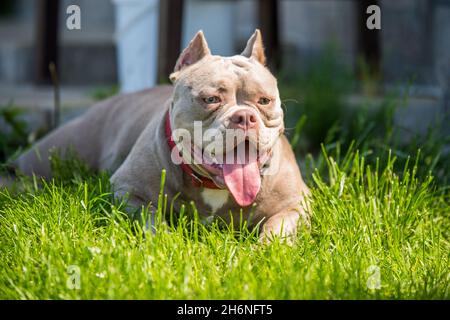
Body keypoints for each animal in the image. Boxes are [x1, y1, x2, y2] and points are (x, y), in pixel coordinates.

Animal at [13, 30, 310, 240]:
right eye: (211, 99)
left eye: (264, 101)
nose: (245, 117)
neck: (215, 187)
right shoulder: (127, 190)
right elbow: (151, 218)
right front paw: (166, 240)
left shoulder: (297, 204)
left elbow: (277, 227)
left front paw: (267, 249)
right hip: (59, 150)